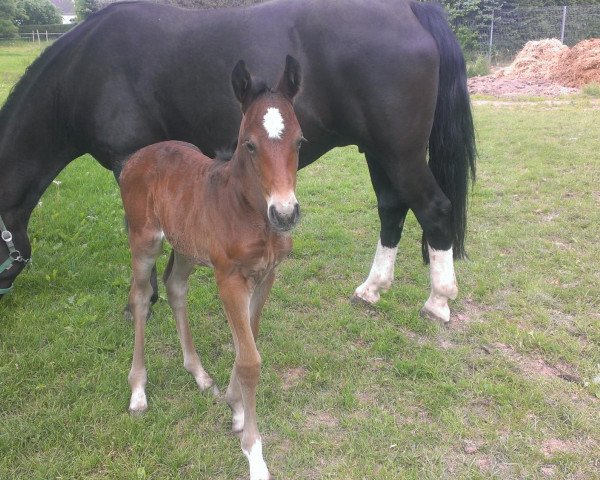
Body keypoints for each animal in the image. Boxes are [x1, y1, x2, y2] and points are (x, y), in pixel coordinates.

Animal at [0, 0, 476, 322]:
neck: (84, 72)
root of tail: (408, 11)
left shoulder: (129, 163)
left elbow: (142, 234)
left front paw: (142, 302)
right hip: (378, 152)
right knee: (392, 208)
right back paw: (372, 289)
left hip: (401, 153)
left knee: (434, 209)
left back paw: (438, 301)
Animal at [119, 57, 302, 480]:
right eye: (248, 144)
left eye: (300, 141)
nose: (285, 213)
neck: (249, 211)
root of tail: (134, 158)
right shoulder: (229, 278)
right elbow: (250, 359)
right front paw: (253, 451)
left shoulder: (266, 274)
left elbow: (248, 338)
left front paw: (235, 405)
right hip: (145, 241)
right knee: (141, 297)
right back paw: (138, 391)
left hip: (186, 246)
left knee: (175, 287)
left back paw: (199, 374)